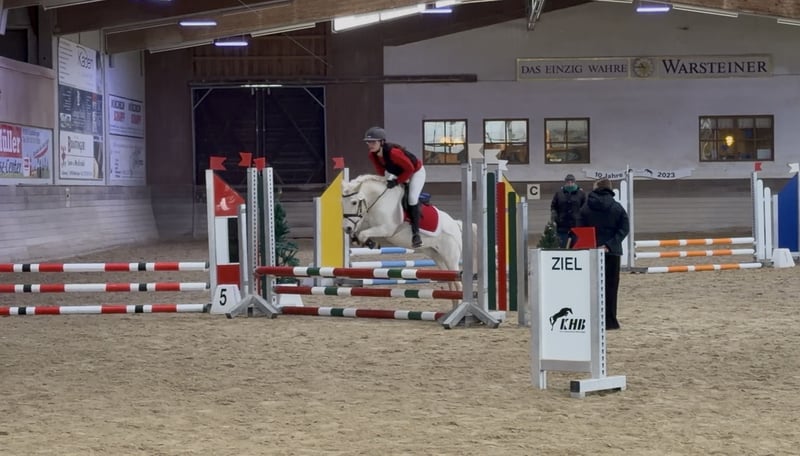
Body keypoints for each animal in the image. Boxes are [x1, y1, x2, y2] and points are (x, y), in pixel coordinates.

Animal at [341, 174, 476, 297]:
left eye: (354, 202)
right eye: (342, 203)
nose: (346, 228)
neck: (379, 200)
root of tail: (456, 224)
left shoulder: (386, 229)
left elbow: (363, 234)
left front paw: (371, 243)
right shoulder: (364, 222)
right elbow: (360, 230)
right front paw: (359, 239)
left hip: (450, 257)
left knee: (458, 284)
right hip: (436, 256)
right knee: (450, 282)